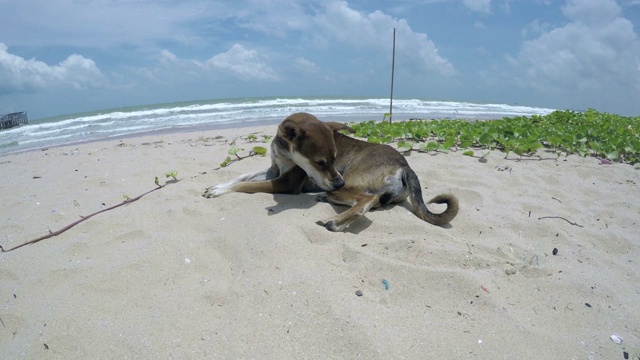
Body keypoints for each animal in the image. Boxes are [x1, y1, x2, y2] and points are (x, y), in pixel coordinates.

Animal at [202, 111, 458, 232]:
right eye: (320, 162)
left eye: (335, 158)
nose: (338, 182)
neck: (283, 152)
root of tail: (405, 166)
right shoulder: (273, 171)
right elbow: (242, 176)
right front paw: (217, 186)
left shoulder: (286, 183)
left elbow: (246, 185)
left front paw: (219, 191)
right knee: (374, 202)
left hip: (351, 183)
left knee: (367, 200)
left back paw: (335, 221)